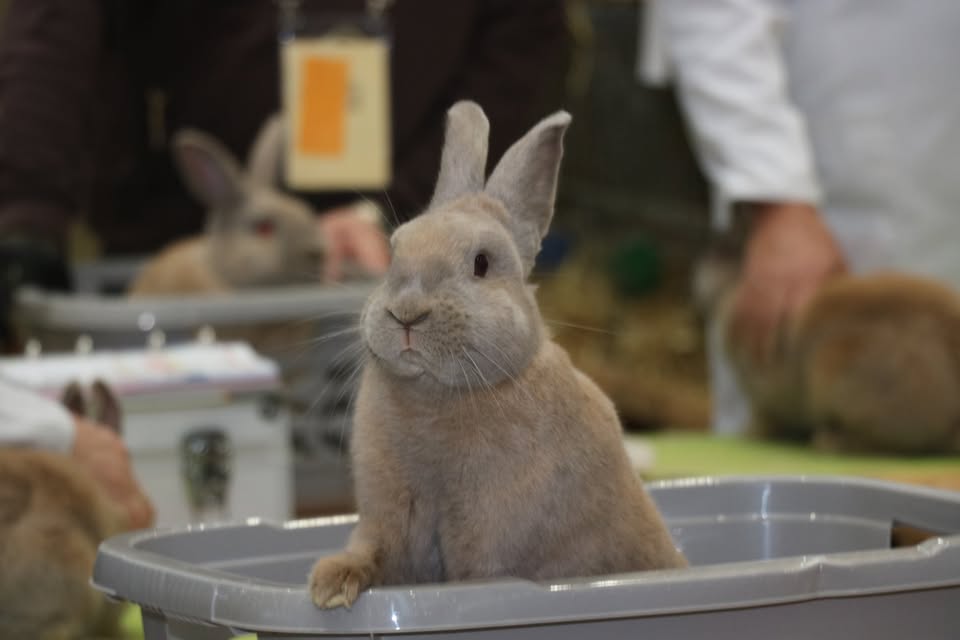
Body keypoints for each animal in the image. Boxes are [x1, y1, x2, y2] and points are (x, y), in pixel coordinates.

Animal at [308, 101, 687, 610]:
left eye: (482, 264)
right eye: (394, 250)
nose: (406, 314)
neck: (436, 397)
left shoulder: (489, 543)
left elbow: (476, 577)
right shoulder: (386, 522)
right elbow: (370, 552)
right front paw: (329, 588)